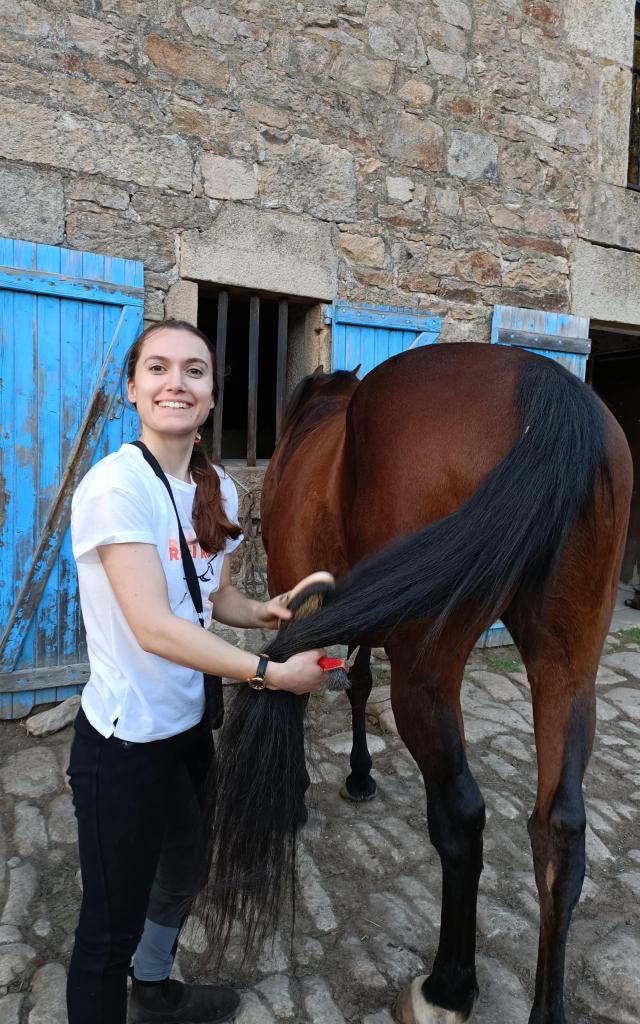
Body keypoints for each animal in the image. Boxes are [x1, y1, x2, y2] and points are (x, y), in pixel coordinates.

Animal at [208, 344, 630, 1024]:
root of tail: (544, 386)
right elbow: (355, 680)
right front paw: (359, 775)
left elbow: (312, 688)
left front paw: (303, 791)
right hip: (567, 671)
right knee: (561, 829)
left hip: (424, 679)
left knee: (461, 816)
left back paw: (446, 988)